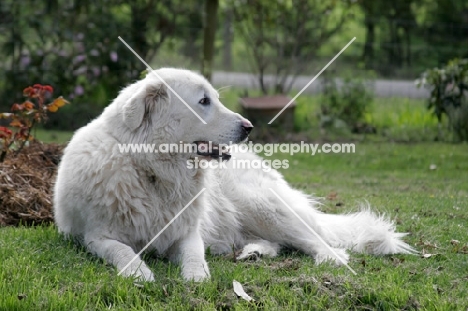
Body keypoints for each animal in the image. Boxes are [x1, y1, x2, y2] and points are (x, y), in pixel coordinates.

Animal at [54, 68, 414, 282]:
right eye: (204, 101)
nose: (250, 127)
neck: (153, 172)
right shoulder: (96, 237)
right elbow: (121, 250)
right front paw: (137, 271)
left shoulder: (187, 234)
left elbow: (194, 255)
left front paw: (196, 277)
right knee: (277, 243)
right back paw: (254, 252)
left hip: (260, 205)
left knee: (313, 239)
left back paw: (330, 258)